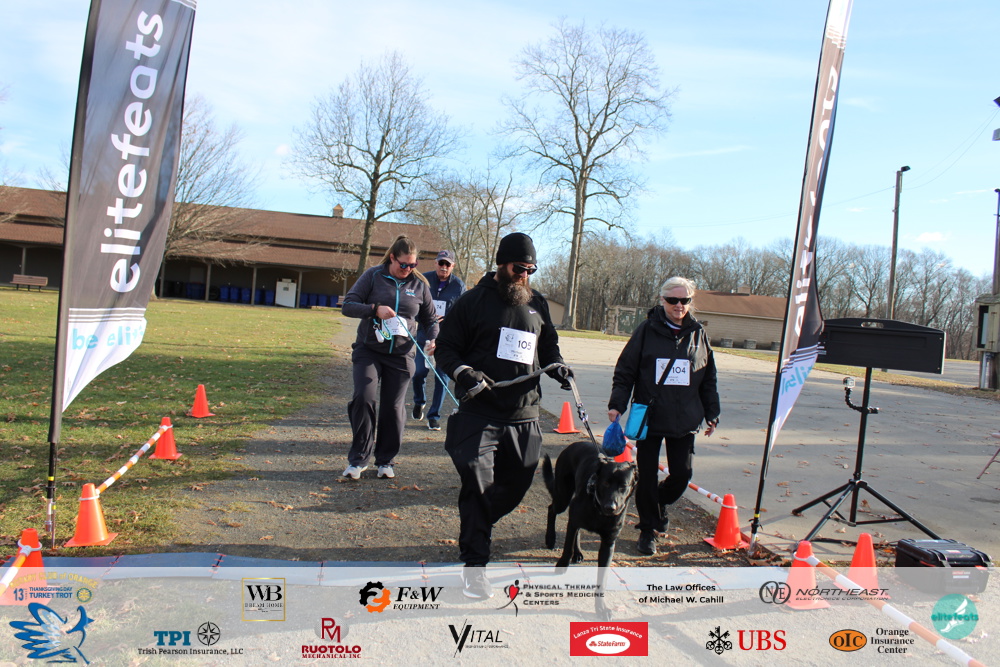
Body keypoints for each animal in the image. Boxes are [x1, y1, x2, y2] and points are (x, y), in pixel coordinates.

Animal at [542, 441, 637, 619]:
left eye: (623, 486)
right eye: (606, 483)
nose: (611, 507)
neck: (599, 510)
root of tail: (577, 443)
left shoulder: (608, 543)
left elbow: (602, 579)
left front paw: (601, 608)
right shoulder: (574, 518)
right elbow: (567, 546)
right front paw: (562, 563)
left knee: (577, 529)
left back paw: (578, 552)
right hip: (563, 497)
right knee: (552, 509)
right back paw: (550, 538)